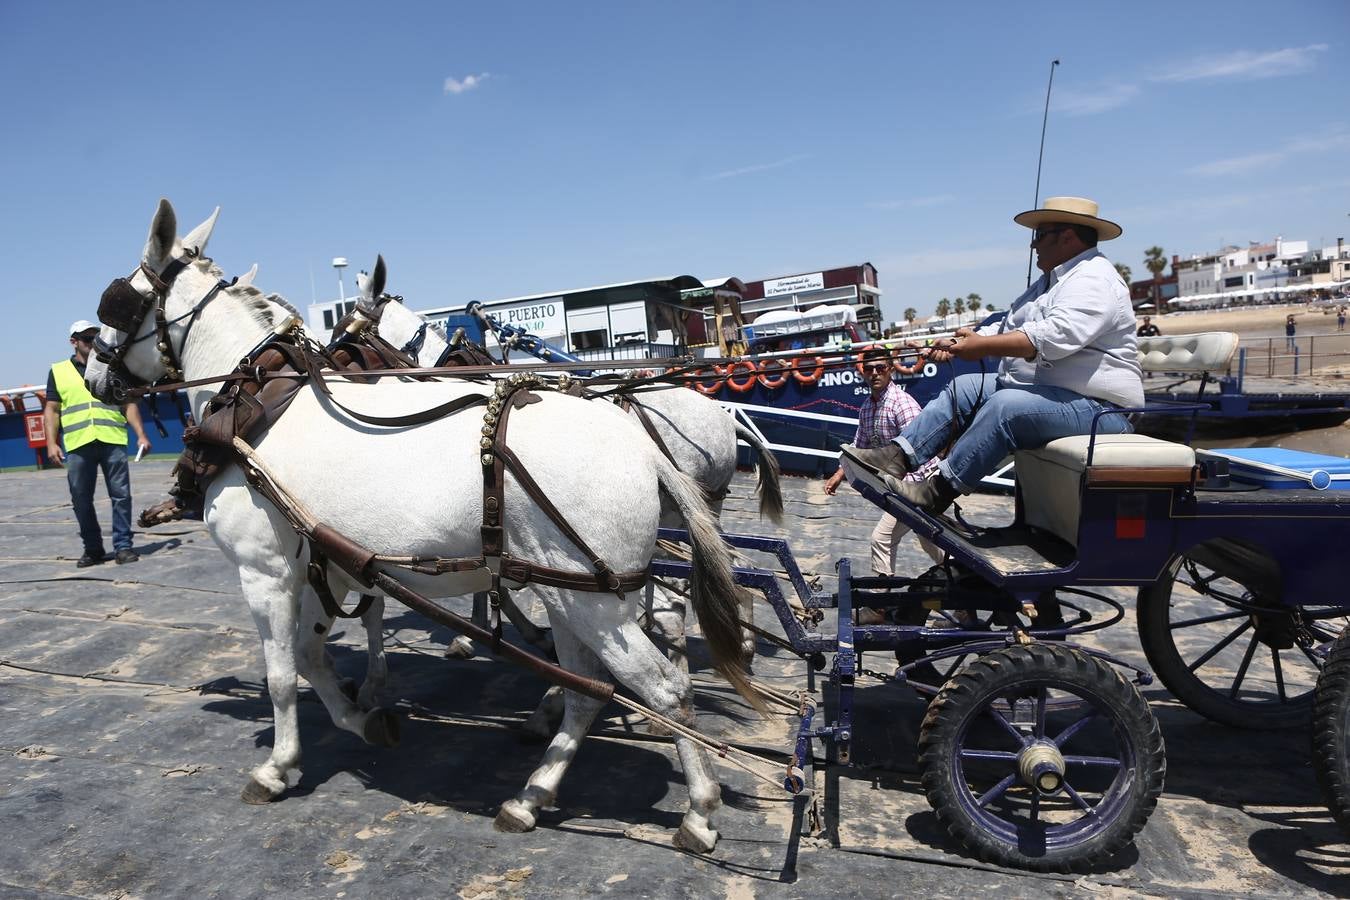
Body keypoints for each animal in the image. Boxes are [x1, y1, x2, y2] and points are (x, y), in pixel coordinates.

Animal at [81, 201, 761, 858]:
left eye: (116, 301)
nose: (89, 373)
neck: (258, 412)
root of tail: (643, 452)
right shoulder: (324, 566)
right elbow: (310, 656)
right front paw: (364, 718)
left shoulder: (264, 570)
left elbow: (280, 675)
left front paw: (278, 767)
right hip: (571, 591)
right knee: (590, 689)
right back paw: (530, 796)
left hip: (594, 602)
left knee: (664, 687)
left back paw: (698, 811)